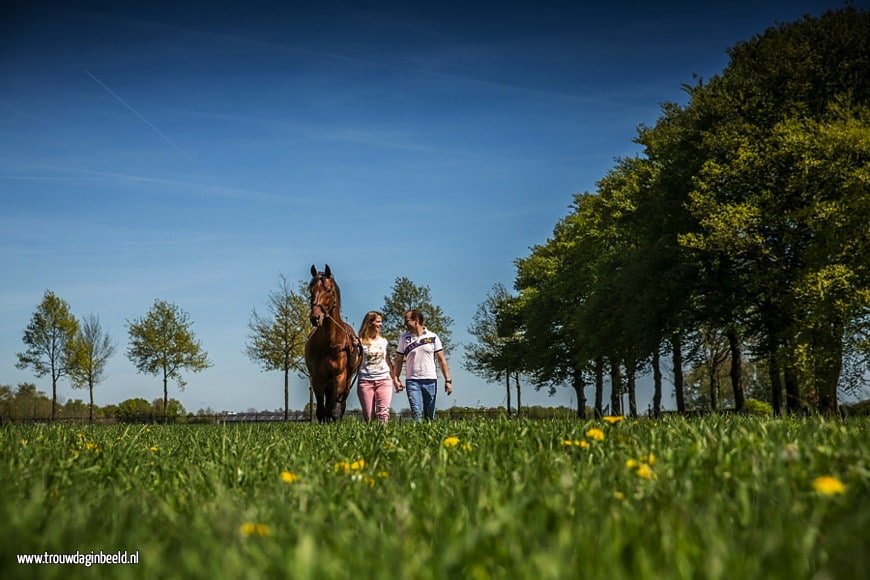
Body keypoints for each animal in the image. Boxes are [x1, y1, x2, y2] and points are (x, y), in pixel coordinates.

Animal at [304, 264, 362, 422]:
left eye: (328, 290)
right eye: (311, 290)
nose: (315, 317)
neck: (329, 343)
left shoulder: (339, 376)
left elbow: (334, 408)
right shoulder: (317, 378)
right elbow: (321, 410)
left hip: (347, 381)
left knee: (339, 404)